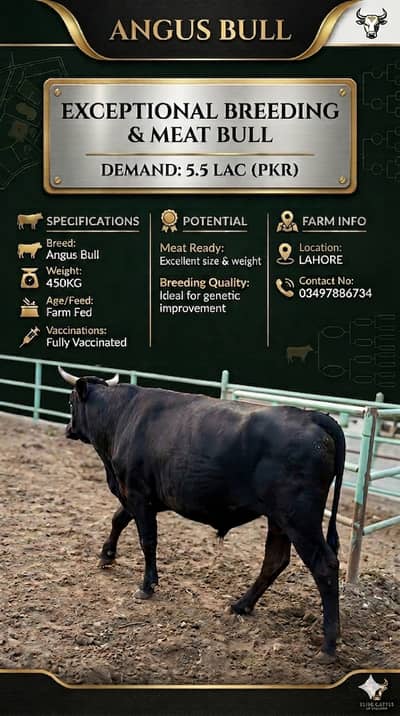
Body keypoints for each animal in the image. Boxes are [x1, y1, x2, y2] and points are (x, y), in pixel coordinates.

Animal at [58, 367, 346, 661]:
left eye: (70, 401)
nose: (68, 429)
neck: (121, 416)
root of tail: (311, 415)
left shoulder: (138, 494)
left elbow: (147, 541)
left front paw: (147, 586)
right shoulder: (135, 495)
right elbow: (118, 518)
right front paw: (106, 555)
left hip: (299, 518)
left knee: (324, 565)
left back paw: (328, 645)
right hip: (279, 519)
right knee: (274, 560)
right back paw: (241, 605)